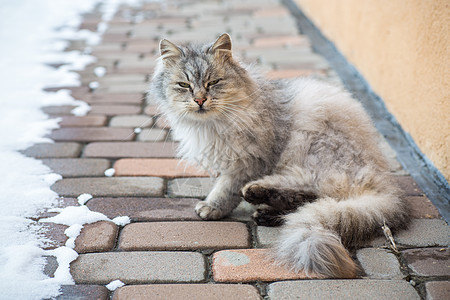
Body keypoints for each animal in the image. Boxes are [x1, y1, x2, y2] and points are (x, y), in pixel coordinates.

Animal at [149, 34, 410, 278]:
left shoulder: (249, 161)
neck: (211, 125)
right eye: (184, 85)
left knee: (312, 191)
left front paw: (213, 207)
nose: (200, 100)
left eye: (213, 82)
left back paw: (259, 198)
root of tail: (382, 176)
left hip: (309, 149)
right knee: (311, 198)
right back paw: (266, 210)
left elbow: (226, 188)